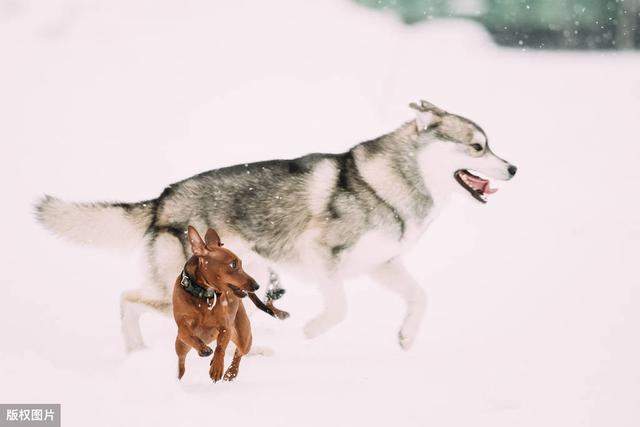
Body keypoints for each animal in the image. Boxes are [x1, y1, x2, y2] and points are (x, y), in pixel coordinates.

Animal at [172, 226, 260, 382]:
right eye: (233, 264)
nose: (256, 286)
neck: (203, 294)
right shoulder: (182, 327)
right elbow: (189, 335)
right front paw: (203, 349)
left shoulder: (226, 327)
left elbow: (220, 348)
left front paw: (217, 368)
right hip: (180, 345)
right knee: (181, 361)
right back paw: (180, 378)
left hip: (244, 338)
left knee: (239, 352)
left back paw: (231, 372)